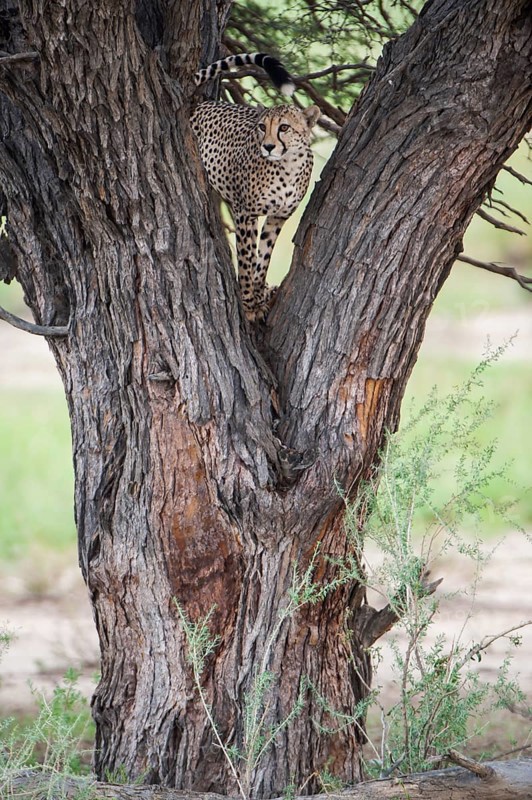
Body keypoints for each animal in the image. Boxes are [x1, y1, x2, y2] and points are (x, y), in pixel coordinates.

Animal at [191, 53, 320, 321]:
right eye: (262, 127)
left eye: (284, 127)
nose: (268, 146)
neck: (288, 165)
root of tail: (204, 104)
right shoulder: (245, 212)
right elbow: (247, 258)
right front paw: (249, 302)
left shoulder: (278, 217)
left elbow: (264, 256)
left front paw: (259, 296)